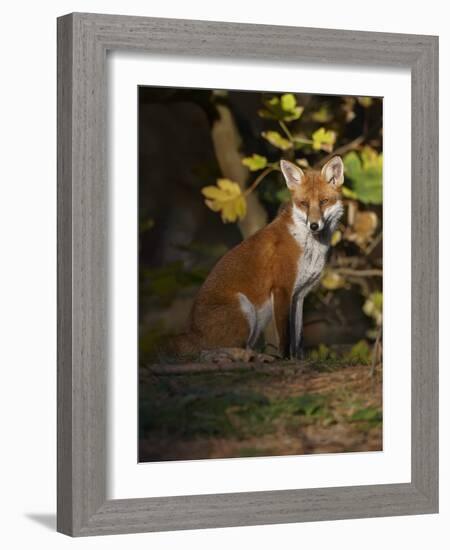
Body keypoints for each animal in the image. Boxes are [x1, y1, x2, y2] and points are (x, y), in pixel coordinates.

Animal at [174, 156, 342, 362]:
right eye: (303, 203)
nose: (314, 225)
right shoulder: (282, 289)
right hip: (245, 308)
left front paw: (298, 360)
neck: (308, 246)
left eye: (324, 201)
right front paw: (284, 359)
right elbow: (285, 336)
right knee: (214, 351)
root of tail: (191, 332)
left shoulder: (299, 295)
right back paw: (253, 357)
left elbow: (298, 337)